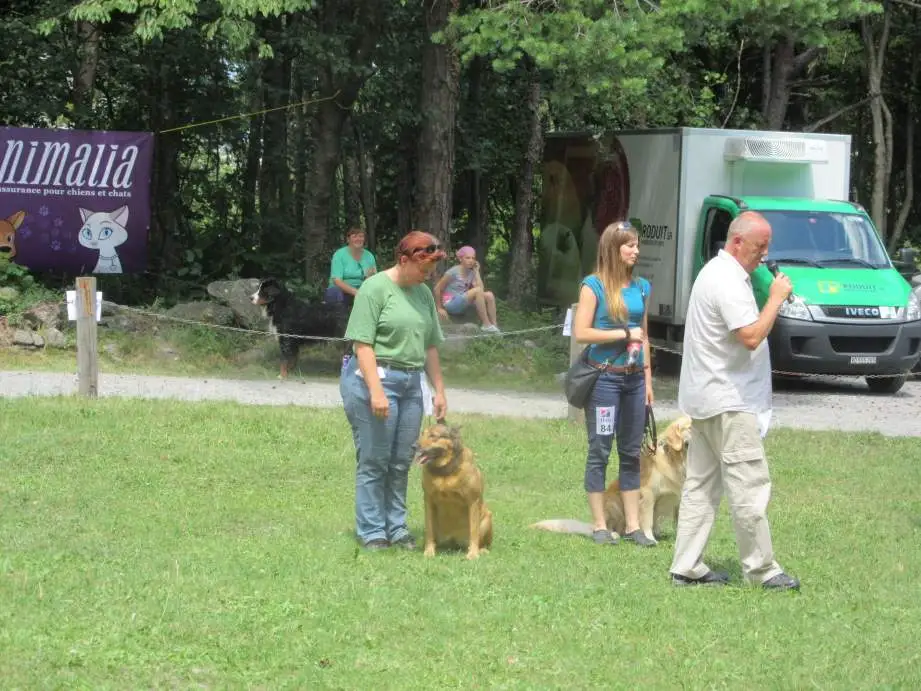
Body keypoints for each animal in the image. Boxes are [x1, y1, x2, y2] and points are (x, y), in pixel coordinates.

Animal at [413, 422, 494, 560]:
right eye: (422, 433)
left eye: (433, 436)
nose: (413, 446)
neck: (445, 472)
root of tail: (454, 541)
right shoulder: (428, 500)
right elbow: (429, 530)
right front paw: (429, 551)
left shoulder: (473, 501)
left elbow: (474, 531)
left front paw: (473, 554)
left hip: (487, 518)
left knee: (481, 541)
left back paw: (481, 550)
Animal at [531, 415, 692, 543]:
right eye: (690, 427)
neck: (675, 460)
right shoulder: (647, 494)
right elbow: (647, 520)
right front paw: (649, 538)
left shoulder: (679, 497)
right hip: (613, 503)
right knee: (614, 528)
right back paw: (614, 534)